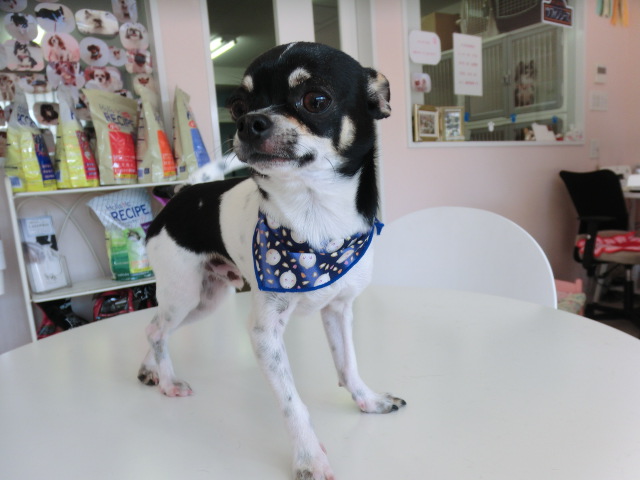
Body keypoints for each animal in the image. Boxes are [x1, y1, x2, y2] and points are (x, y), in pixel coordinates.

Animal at [137, 42, 404, 479]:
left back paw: (151, 370)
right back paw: (168, 381)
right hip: (184, 295)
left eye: (316, 100)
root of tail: (180, 195)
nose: (250, 122)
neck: (316, 221)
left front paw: (367, 400)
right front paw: (308, 457)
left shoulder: (339, 311)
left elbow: (348, 365)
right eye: (237, 106)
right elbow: (292, 404)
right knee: (158, 331)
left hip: (204, 301)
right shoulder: (265, 333)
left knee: (153, 328)